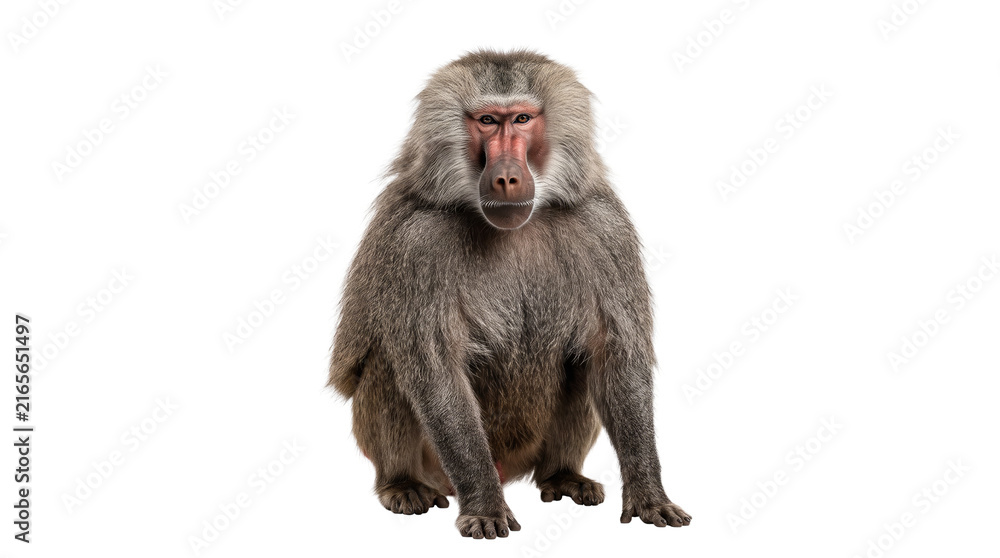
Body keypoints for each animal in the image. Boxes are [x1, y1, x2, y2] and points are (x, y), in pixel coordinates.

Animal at [329, 49, 691, 539]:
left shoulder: (604, 227)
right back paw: (402, 483)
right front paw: (484, 505)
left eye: (521, 119)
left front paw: (649, 494)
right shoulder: (417, 242)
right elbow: (435, 372)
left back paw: (563, 475)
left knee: (581, 362)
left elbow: (616, 355)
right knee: (391, 361)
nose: (505, 178)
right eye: (486, 121)